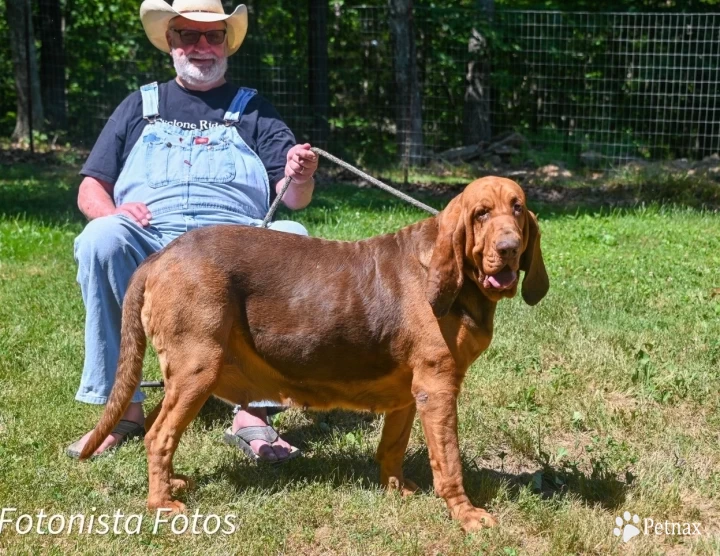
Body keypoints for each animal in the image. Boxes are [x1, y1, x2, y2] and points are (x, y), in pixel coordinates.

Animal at [79, 176, 548, 532]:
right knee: (159, 436)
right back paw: (160, 503)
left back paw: (172, 484)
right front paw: (466, 516)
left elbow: (392, 447)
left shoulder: (411, 395)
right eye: (481, 213)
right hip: (197, 370)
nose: (508, 248)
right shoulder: (439, 389)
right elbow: (448, 462)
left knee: (161, 431)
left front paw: (396, 490)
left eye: (518, 209)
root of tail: (161, 256)